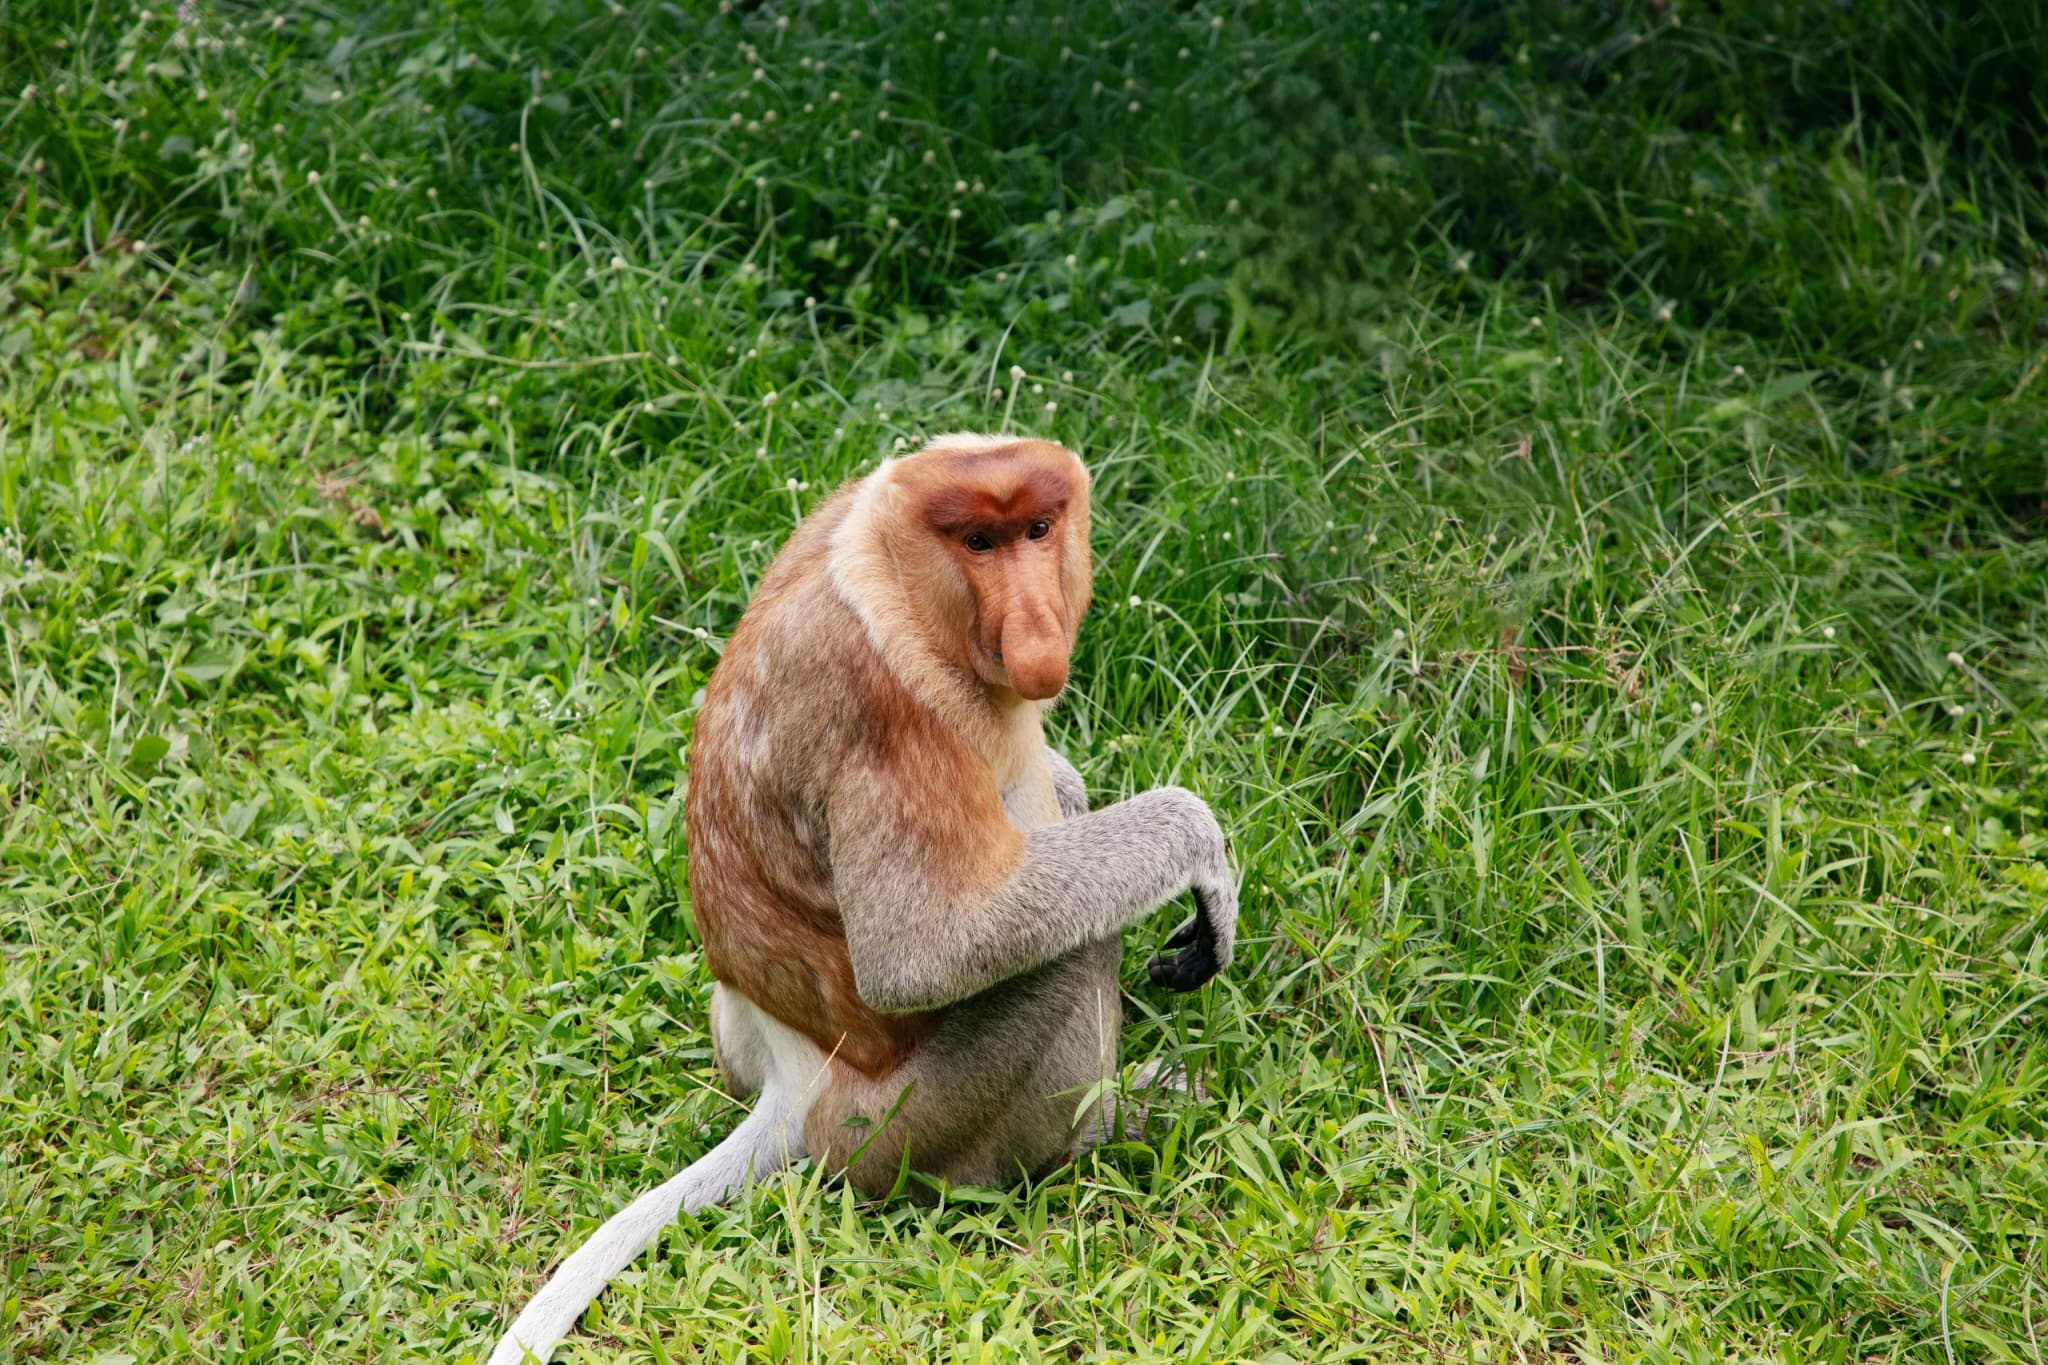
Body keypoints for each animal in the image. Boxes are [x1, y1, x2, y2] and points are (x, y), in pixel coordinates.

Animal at [486, 433, 1238, 1365]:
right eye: (978, 543)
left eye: (1037, 529)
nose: (1037, 630)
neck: (890, 561)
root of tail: (791, 1081)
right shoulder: (886, 708)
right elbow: (919, 955)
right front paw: (1199, 851)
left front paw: (1071, 786)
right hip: (899, 1129)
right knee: (1068, 952)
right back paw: (1106, 1128)